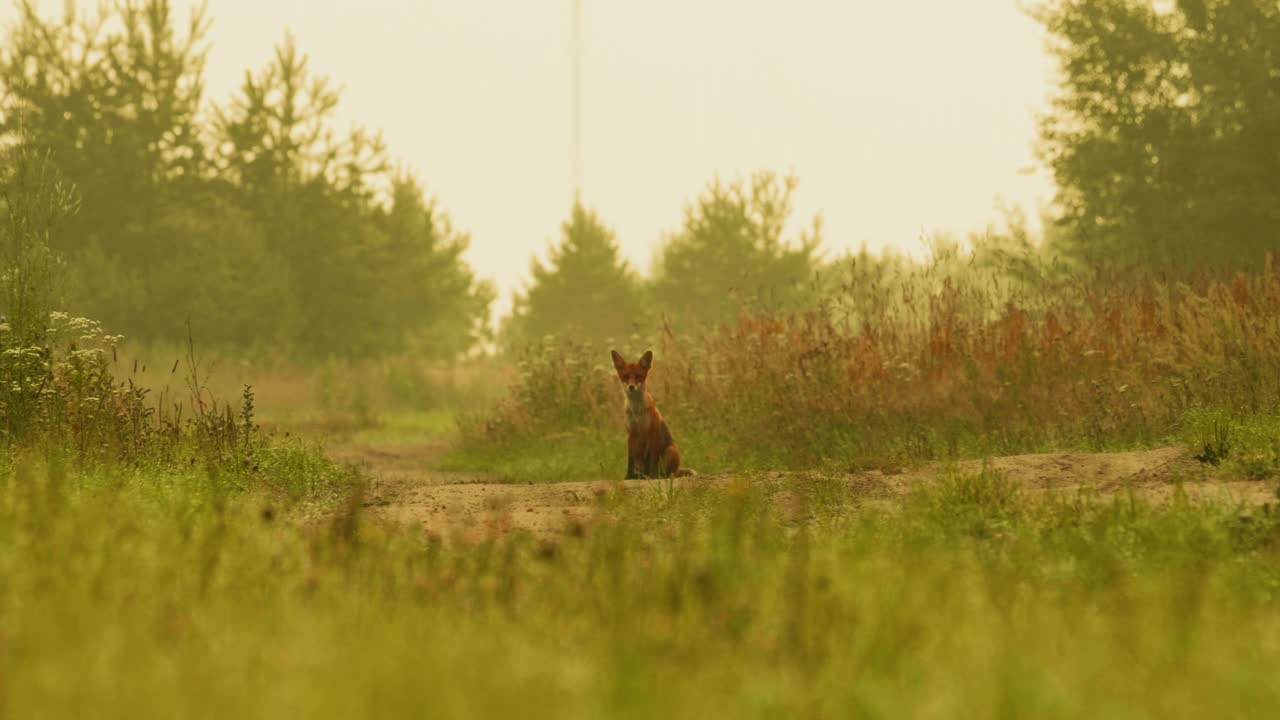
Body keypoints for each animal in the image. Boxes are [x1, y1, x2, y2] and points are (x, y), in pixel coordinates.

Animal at [611, 348, 701, 476]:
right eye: (626, 376)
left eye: (638, 376)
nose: (631, 387)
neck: (637, 411)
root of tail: (677, 469)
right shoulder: (631, 434)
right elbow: (630, 460)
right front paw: (629, 477)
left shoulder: (652, 434)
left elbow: (651, 459)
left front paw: (650, 476)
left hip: (670, 451)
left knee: (665, 473)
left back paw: (655, 476)